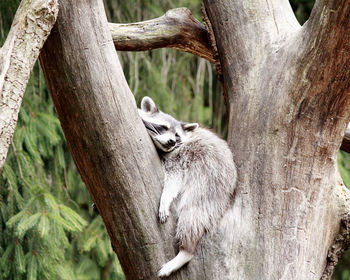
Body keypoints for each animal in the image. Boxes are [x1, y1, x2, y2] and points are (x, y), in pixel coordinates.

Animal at [138, 97, 237, 276]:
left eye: (177, 136)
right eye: (164, 127)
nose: (171, 141)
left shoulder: (178, 158)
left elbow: (174, 180)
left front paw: (165, 198)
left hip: (211, 185)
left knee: (193, 214)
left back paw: (186, 251)